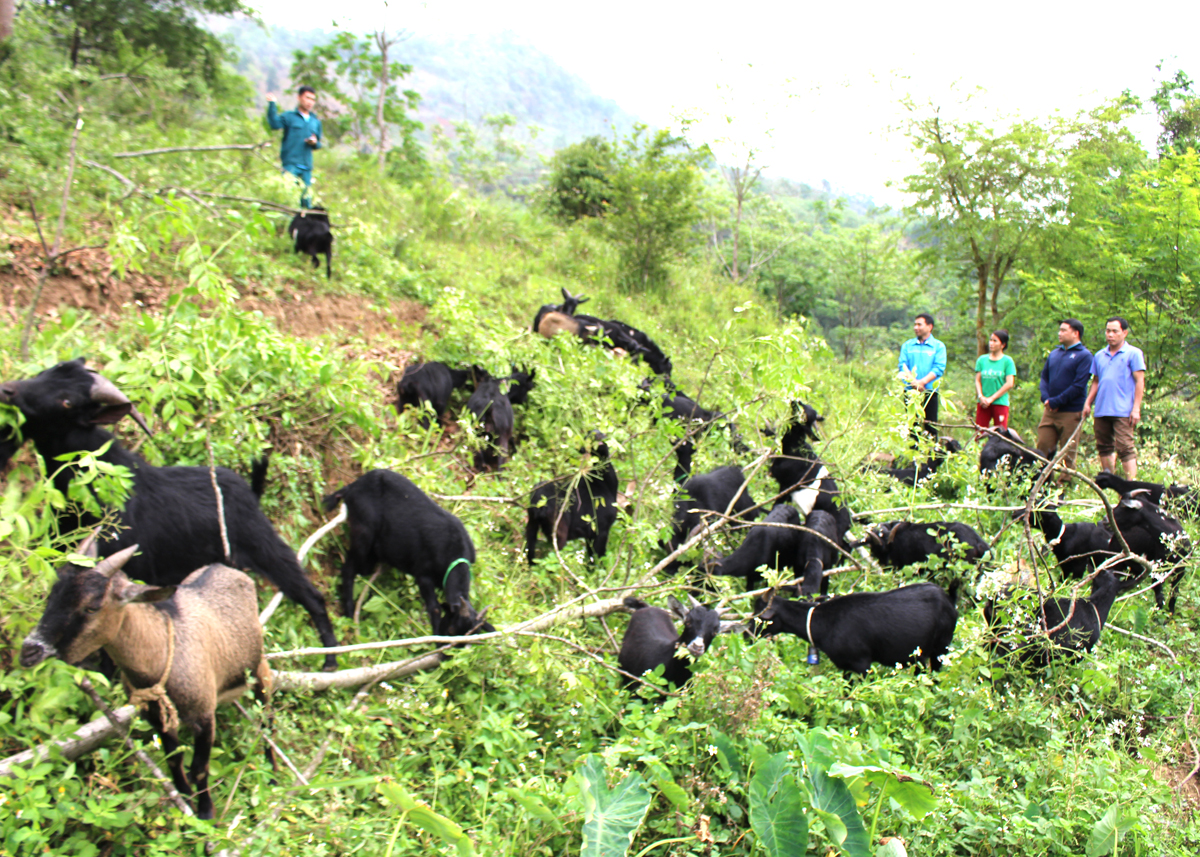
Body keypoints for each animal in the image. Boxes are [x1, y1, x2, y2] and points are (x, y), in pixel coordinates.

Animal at [0, 357, 340, 672]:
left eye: (67, 401)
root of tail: (250, 492)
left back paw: (330, 660)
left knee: (311, 595)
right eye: (46, 372)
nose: (8, 390)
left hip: (265, 547)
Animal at [22, 540, 274, 816]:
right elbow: (174, 759)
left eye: (91, 607)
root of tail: (224, 567)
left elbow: (200, 768)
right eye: (52, 595)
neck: (160, 655)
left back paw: (272, 773)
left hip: (259, 670)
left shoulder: (204, 715)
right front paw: (184, 798)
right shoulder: (157, 717)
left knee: (267, 719)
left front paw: (206, 813)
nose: (30, 650)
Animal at [321, 468, 489, 633]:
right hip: (362, 533)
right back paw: (350, 614)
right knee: (348, 569)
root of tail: (351, 487)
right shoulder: (423, 575)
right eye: (452, 629)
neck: (454, 551)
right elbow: (434, 608)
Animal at [525, 434, 619, 566]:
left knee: (530, 549)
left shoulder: (590, 533)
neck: (604, 484)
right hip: (559, 529)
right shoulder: (601, 529)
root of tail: (539, 504)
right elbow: (597, 558)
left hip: (532, 523)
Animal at [753, 580, 960, 672]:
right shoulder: (845, 666)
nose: (748, 635)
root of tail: (949, 599)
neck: (823, 622)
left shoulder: (861, 664)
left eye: (760, 617)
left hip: (941, 648)